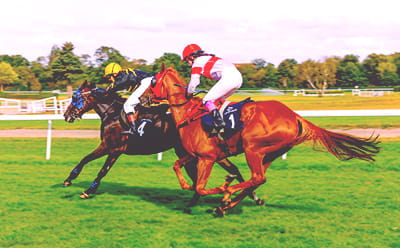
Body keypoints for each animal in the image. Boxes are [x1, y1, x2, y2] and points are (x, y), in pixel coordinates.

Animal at [62, 81, 260, 205]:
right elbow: (90, 162)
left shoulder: (112, 147)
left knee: (219, 172)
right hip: (202, 152)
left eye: (75, 98)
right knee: (228, 170)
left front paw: (81, 186)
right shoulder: (112, 148)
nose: (66, 115)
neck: (113, 113)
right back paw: (249, 196)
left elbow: (95, 165)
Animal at [151, 67, 382, 216]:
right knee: (258, 179)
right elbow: (177, 166)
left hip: (252, 148)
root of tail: (295, 116)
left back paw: (227, 198)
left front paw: (223, 187)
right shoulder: (199, 155)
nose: (146, 99)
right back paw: (225, 205)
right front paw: (196, 191)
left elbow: (200, 186)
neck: (189, 115)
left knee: (257, 177)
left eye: (153, 81)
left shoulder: (207, 157)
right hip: (270, 153)